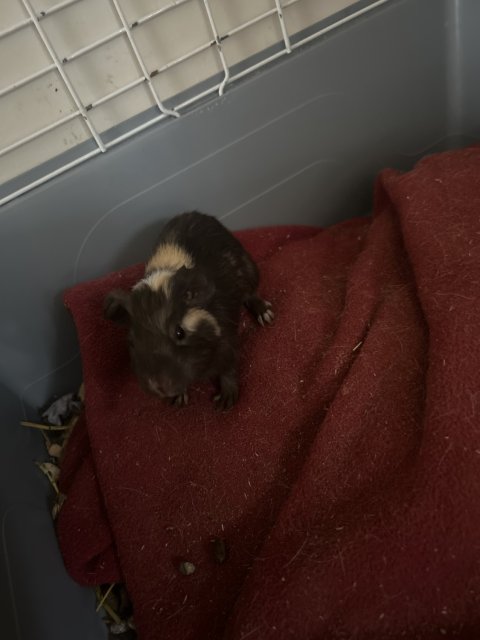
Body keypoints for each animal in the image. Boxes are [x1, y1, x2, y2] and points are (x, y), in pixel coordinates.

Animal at [104, 211, 273, 410]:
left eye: (180, 332)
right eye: (131, 342)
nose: (159, 387)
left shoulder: (228, 344)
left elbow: (229, 369)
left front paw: (224, 403)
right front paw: (178, 401)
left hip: (250, 273)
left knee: (251, 295)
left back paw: (266, 315)